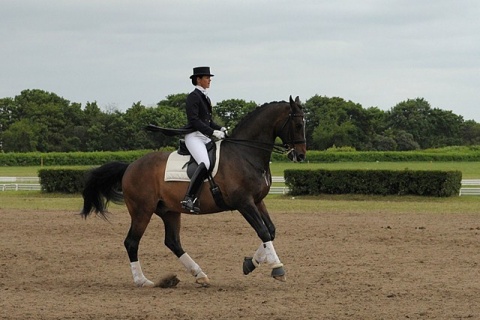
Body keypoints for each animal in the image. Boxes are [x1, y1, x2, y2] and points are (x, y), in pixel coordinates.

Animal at [81, 95, 308, 288]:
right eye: (298, 124)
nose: (301, 156)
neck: (245, 154)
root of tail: (130, 166)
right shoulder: (244, 202)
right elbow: (263, 231)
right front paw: (277, 269)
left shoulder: (258, 201)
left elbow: (270, 230)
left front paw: (250, 263)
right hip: (141, 211)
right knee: (131, 242)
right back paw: (142, 281)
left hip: (169, 211)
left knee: (172, 242)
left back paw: (200, 275)